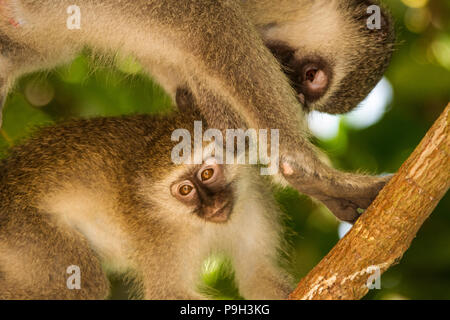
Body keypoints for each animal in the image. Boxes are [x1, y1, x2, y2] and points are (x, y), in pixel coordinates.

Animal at [0, 104, 292, 298]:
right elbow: (170, 293)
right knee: (87, 283)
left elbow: (256, 276)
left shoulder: (252, 200)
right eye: (185, 190)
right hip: (27, 229)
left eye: (207, 174)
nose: (212, 204)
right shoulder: (161, 235)